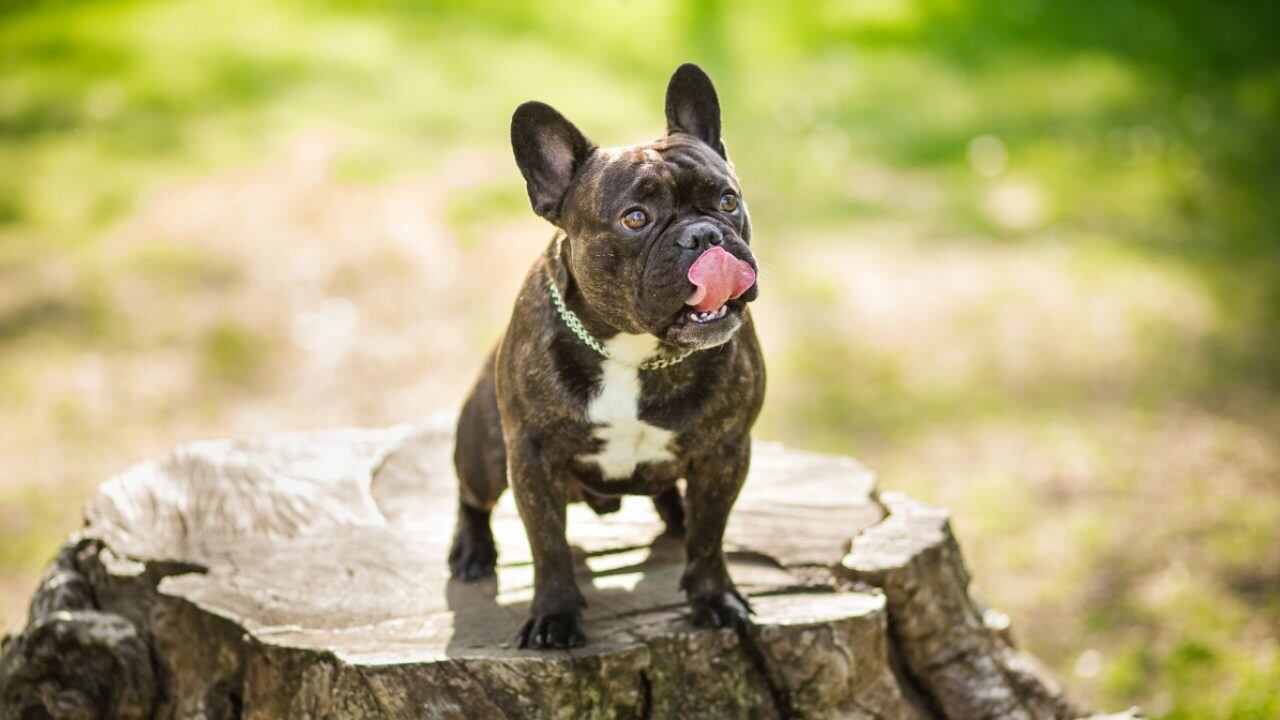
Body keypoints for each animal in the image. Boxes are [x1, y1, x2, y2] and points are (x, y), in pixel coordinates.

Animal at [453, 64, 762, 648]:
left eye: (728, 201)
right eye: (635, 218)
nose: (703, 235)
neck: (636, 353)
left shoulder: (725, 452)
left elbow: (711, 537)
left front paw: (715, 597)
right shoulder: (532, 457)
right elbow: (548, 547)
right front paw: (554, 616)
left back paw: (677, 512)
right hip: (484, 448)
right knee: (472, 495)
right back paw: (471, 549)